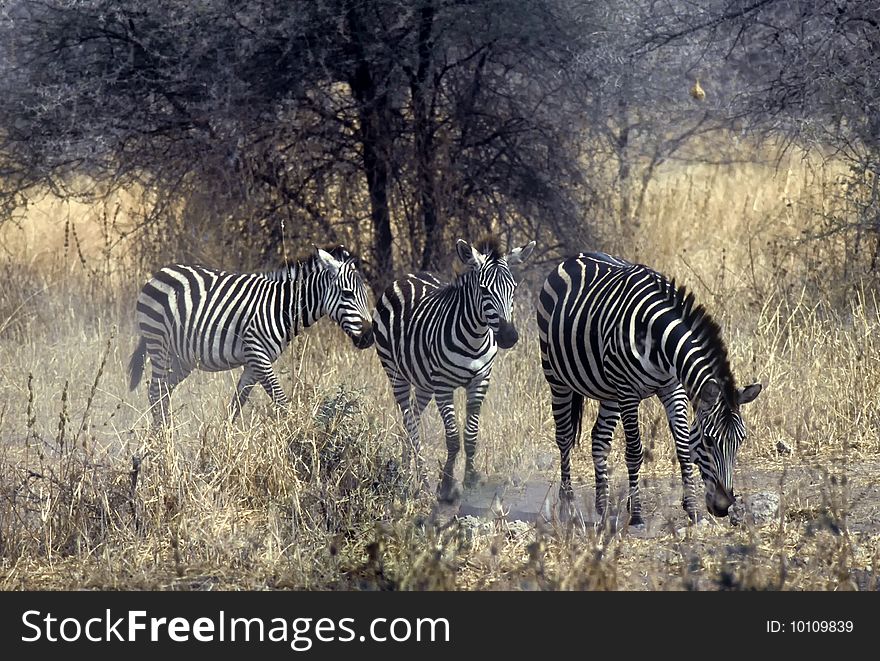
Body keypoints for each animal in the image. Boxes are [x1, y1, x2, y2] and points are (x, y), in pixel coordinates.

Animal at [125, 245, 372, 426]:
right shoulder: (257, 355)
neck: (282, 307)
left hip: (183, 358)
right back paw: (163, 442)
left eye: (365, 294)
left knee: (164, 392)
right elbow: (282, 403)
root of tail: (161, 272)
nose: (369, 337)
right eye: (347, 294)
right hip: (159, 345)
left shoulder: (256, 362)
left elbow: (237, 404)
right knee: (156, 392)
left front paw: (223, 441)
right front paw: (296, 439)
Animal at [372, 237, 536, 500]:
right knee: (410, 422)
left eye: (513, 289)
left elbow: (470, 435)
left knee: (413, 419)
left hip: (423, 383)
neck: (475, 337)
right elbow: (452, 439)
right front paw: (446, 485)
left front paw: (469, 478)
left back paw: (406, 472)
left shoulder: (480, 381)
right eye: (484, 290)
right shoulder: (443, 387)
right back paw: (421, 481)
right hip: (395, 373)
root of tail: (408, 276)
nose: (509, 337)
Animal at [536, 250, 764, 524]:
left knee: (599, 439)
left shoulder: (673, 389)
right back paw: (567, 504)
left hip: (609, 391)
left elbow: (683, 447)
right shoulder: (628, 392)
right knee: (564, 437)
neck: (658, 338)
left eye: (741, 440)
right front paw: (636, 514)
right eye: (709, 441)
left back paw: (603, 507)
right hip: (557, 377)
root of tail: (577, 255)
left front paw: (692, 509)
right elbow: (635, 452)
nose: (722, 507)